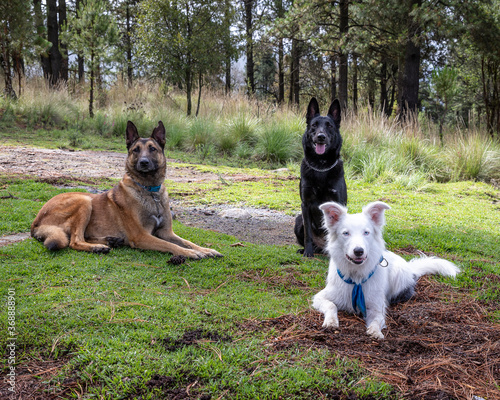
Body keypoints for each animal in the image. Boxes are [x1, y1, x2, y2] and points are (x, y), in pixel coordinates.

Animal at [32, 122, 224, 260]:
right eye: (135, 150)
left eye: (152, 149)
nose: (144, 162)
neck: (150, 191)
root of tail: (36, 222)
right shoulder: (142, 236)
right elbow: (173, 246)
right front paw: (191, 253)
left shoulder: (166, 232)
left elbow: (188, 241)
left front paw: (206, 250)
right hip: (84, 201)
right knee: (75, 240)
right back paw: (98, 247)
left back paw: (111, 241)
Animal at [292, 98, 348, 258]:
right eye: (314, 125)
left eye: (329, 126)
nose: (321, 136)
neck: (321, 167)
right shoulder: (305, 205)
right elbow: (308, 235)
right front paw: (307, 252)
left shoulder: (338, 202)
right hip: (298, 220)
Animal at [314, 202, 458, 340]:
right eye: (345, 233)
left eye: (366, 232)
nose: (359, 251)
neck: (356, 277)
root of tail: (409, 268)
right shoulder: (319, 297)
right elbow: (331, 305)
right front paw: (331, 322)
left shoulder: (377, 308)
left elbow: (377, 320)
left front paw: (375, 332)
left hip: (398, 274)